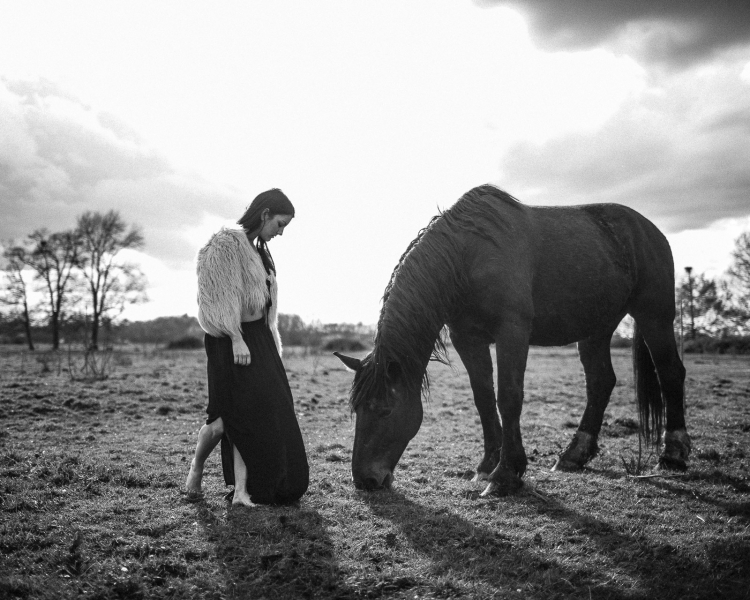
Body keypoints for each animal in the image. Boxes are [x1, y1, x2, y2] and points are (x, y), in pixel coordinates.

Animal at [338, 185, 696, 494]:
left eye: (385, 410)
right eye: (357, 409)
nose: (364, 480)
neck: (468, 255)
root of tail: (652, 231)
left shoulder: (512, 330)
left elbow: (508, 396)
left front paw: (506, 474)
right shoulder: (467, 338)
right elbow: (483, 398)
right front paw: (487, 464)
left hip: (654, 316)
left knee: (670, 373)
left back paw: (673, 455)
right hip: (596, 329)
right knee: (600, 382)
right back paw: (573, 455)